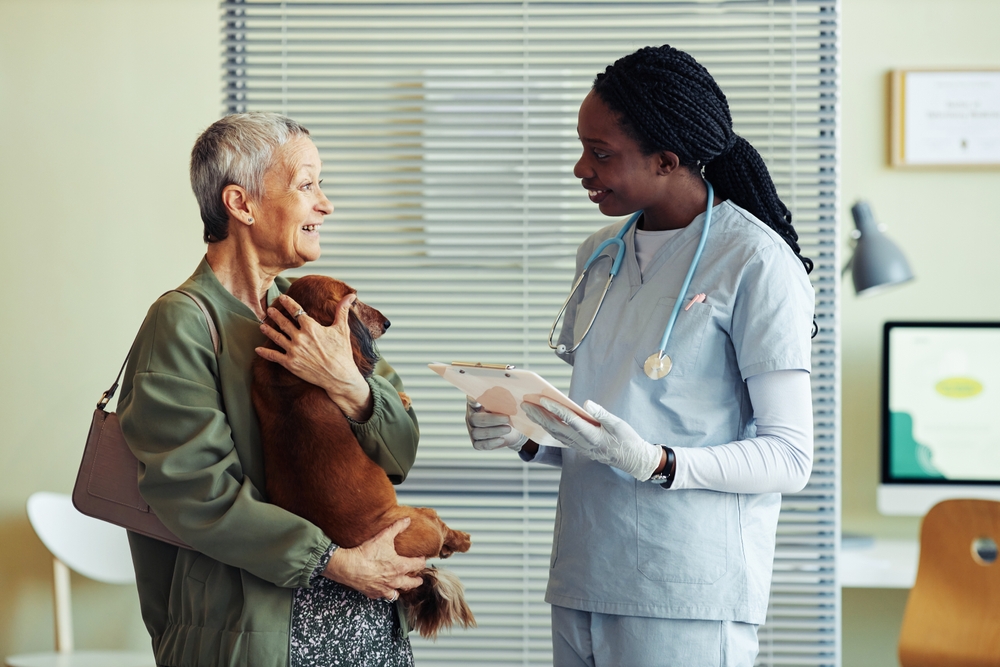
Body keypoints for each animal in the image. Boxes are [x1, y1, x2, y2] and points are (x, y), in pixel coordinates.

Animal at [248, 276, 470, 636]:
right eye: (354, 301)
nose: (388, 323)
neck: (287, 376)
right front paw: (401, 397)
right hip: (422, 519)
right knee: (442, 530)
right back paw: (461, 540)